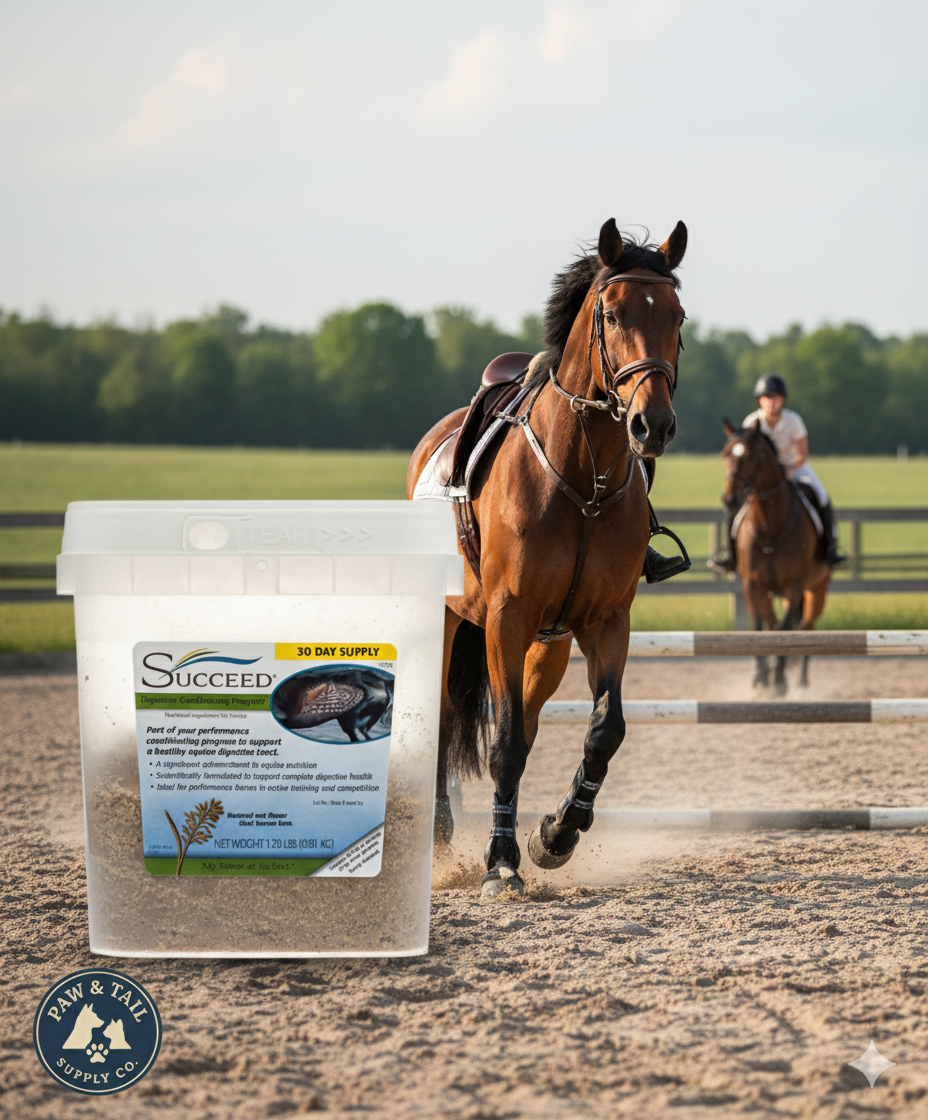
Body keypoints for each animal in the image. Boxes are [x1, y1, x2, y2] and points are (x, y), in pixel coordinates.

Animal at [407, 218, 687, 898]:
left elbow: (604, 730)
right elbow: (505, 741)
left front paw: (555, 834)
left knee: (530, 722)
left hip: (549, 644)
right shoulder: (506, 618)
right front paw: (501, 863)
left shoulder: (606, 621)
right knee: (448, 720)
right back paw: (442, 839)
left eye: (678, 317)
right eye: (611, 314)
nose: (653, 426)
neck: (583, 475)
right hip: (454, 620)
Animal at [720, 419, 831, 693]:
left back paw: (801, 680)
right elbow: (762, 628)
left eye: (750, 456)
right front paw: (762, 677)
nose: (730, 499)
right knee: (779, 623)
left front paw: (779, 679)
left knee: (806, 628)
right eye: (726, 455)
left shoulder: (794, 587)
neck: (769, 527)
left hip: (816, 590)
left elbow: (783, 629)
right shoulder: (753, 585)